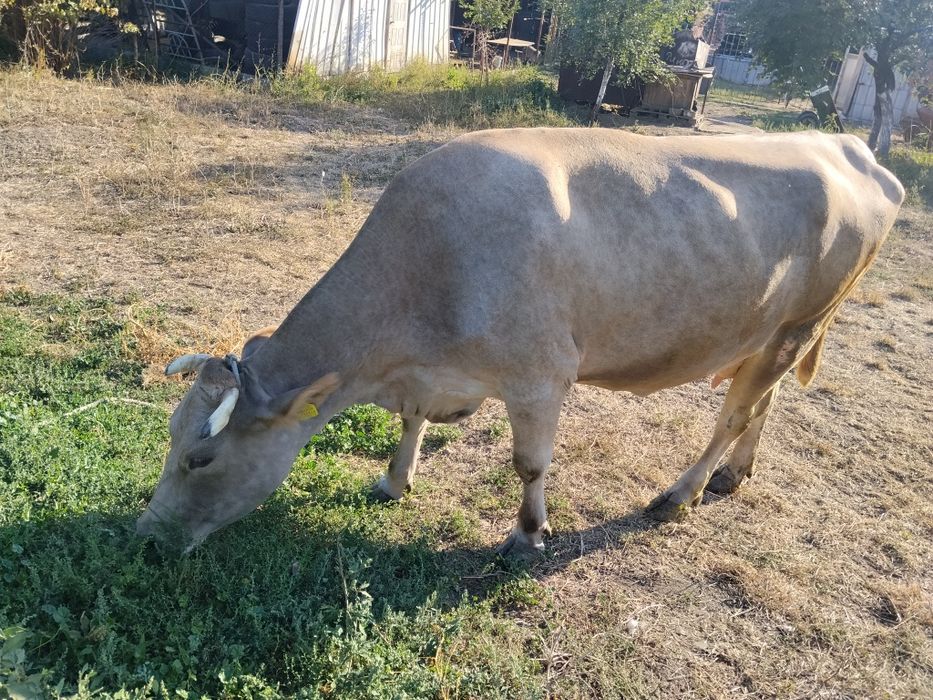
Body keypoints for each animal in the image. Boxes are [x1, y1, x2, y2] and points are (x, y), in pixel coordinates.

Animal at [136, 129, 904, 554]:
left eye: (200, 458)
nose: (146, 535)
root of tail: (844, 144)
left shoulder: (541, 374)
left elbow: (529, 464)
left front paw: (526, 535)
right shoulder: (432, 375)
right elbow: (413, 422)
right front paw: (394, 480)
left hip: (797, 325)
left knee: (734, 414)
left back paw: (679, 493)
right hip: (777, 332)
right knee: (763, 404)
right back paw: (731, 477)